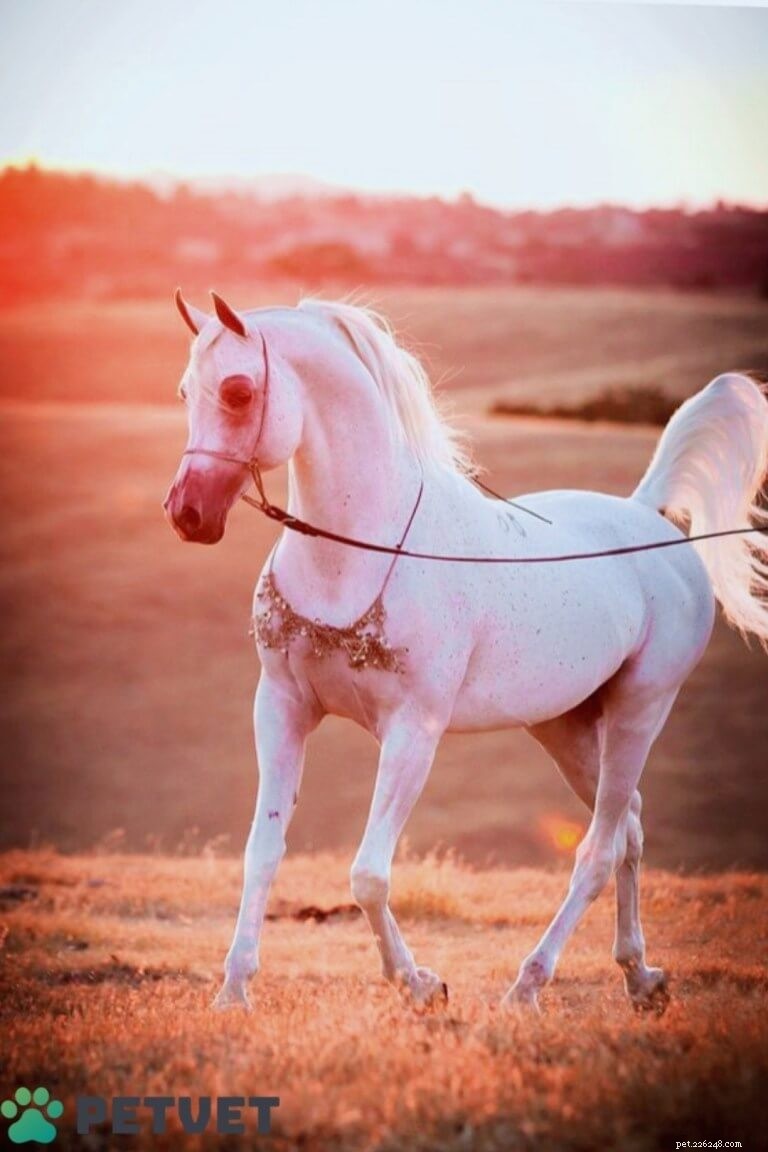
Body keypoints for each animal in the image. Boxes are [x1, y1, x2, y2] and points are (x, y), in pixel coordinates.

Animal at [164, 290, 768, 1014]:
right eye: (185, 391)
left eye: (236, 390)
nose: (186, 514)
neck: (358, 554)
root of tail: (648, 517)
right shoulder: (280, 710)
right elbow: (263, 852)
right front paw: (234, 990)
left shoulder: (413, 732)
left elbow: (368, 874)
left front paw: (420, 984)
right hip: (565, 728)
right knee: (629, 829)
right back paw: (639, 976)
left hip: (638, 713)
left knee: (597, 851)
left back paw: (529, 985)